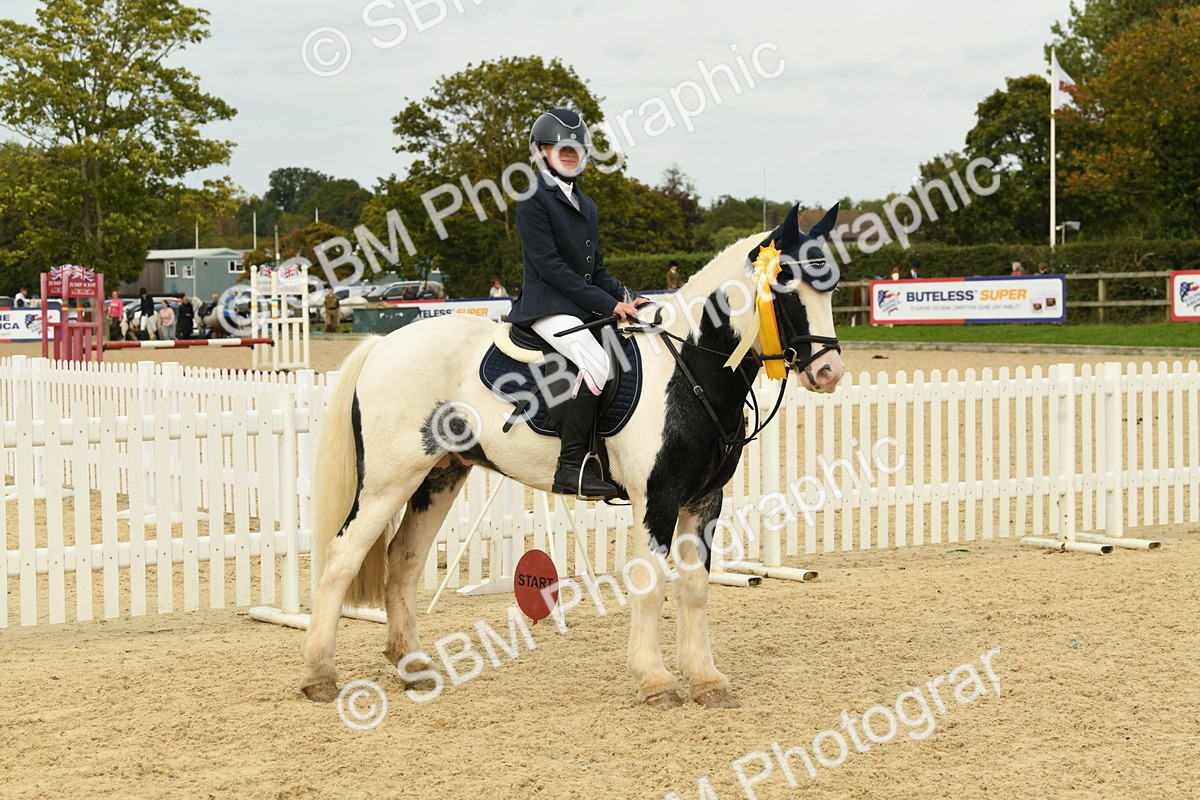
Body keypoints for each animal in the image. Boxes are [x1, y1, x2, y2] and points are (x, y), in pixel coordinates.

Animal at [300, 203, 847, 709]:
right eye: (785, 282)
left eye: (832, 289)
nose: (829, 373)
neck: (689, 368)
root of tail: (381, 345)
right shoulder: (657, 498)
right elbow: (651, 584)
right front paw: (656, 681)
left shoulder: (704, 499)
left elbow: (694, 589)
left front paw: (707, 681)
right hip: (389, 480)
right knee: (342, 558)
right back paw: (320, 676)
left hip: (438, 477)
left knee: (404, 562)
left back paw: (412, 668)